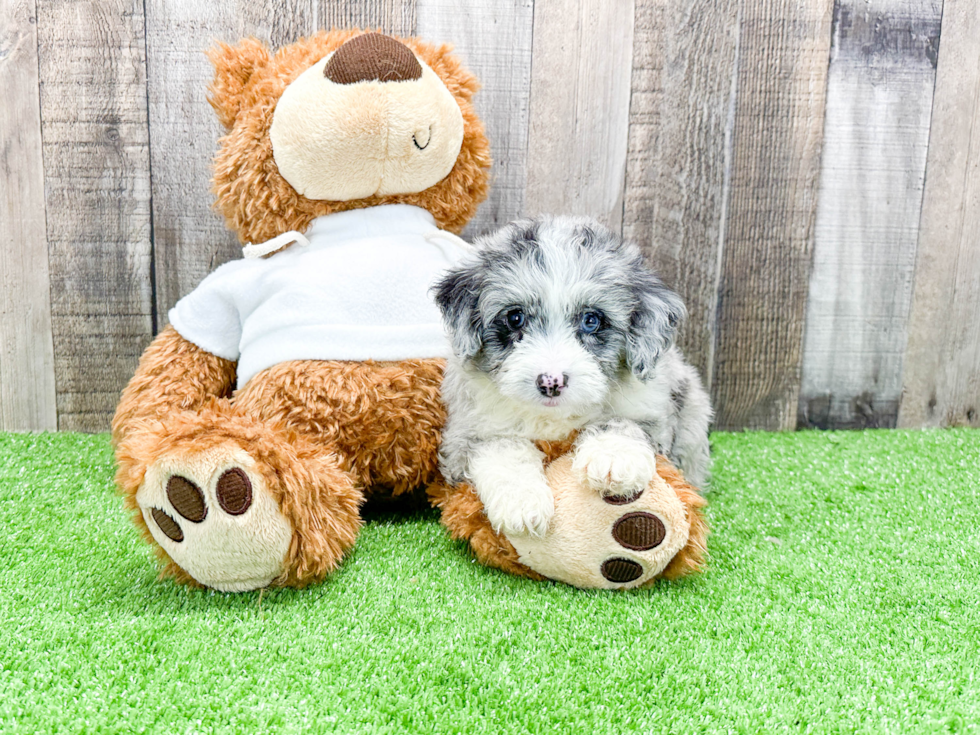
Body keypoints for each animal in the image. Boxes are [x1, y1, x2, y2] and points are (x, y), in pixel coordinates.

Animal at [432, 216, 708, 536]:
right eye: (515, 318)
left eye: (591, 320)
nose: (551, 383)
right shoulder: (464, 433)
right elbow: (502, 445)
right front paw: (521, 502)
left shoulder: (653, 409)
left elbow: (623, 422)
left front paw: (613, 457)